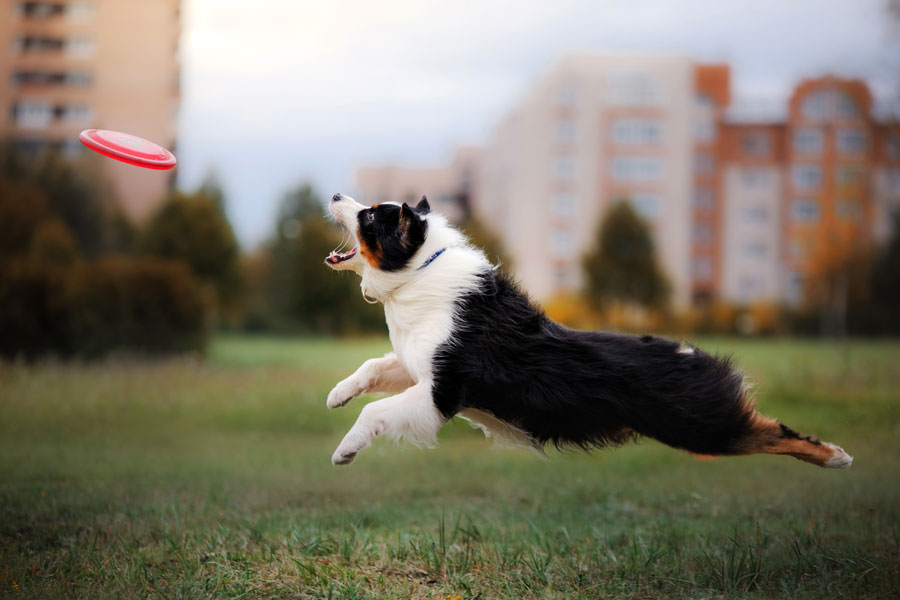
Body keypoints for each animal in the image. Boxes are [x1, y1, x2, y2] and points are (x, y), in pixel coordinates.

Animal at [322, 195, 852, 472]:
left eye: (370, 216)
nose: (335, 196)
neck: (417, 272)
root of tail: (688, 352)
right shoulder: (420, 365)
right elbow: (373, 366)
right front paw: (336, 394)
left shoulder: (441, 392)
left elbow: (375, 411)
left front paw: (345, 449)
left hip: (701, 426)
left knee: (772, 430)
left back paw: (836, 457)